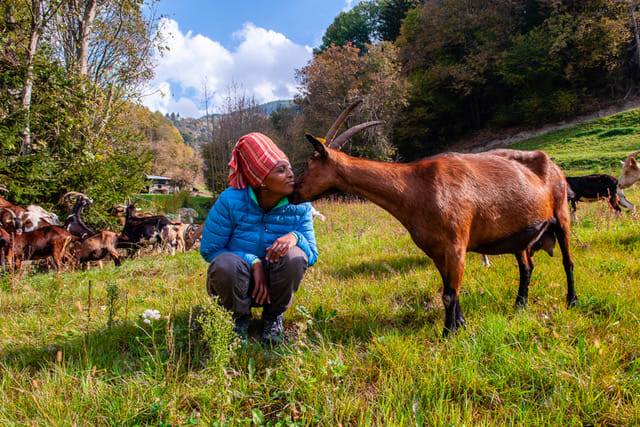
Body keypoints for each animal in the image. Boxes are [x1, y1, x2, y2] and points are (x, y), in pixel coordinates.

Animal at [290, 101, 576, 338]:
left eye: (310, 164)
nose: (293, 192)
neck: (416, 187)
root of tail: (553, 165)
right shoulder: (436, 250)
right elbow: (448, 290)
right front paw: (460, 325)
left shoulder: (457, 244)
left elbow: (450, 294)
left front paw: (448, 334)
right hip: (521, 235)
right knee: (526, 267)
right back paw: (519, 305)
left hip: (561, 215)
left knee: (567, 261)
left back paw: (572, 301)